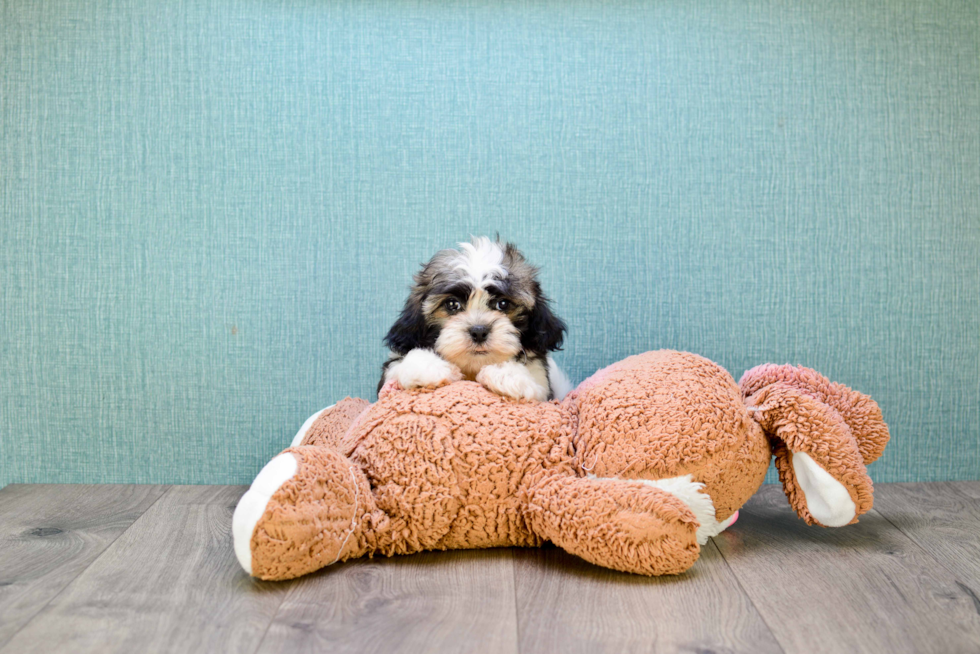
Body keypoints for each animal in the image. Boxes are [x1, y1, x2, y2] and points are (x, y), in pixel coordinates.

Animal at [378, 238, 576, 402]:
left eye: (503, 304)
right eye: (452, 304)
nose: (479, 331)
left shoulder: (542, 384)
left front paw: (507, 374)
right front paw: (429, 367)